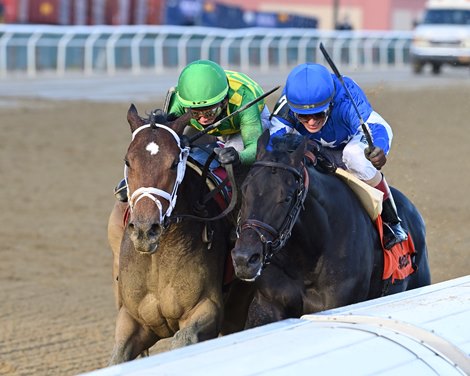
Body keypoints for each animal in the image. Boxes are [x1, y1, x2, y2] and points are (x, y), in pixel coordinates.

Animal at [106, 106, 250, 364]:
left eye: (174, 163)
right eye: (128, 161)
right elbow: (118, 357)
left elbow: (183, 339)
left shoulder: (207, 308)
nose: (146, 230)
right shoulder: (132, 318)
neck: (158, 257)